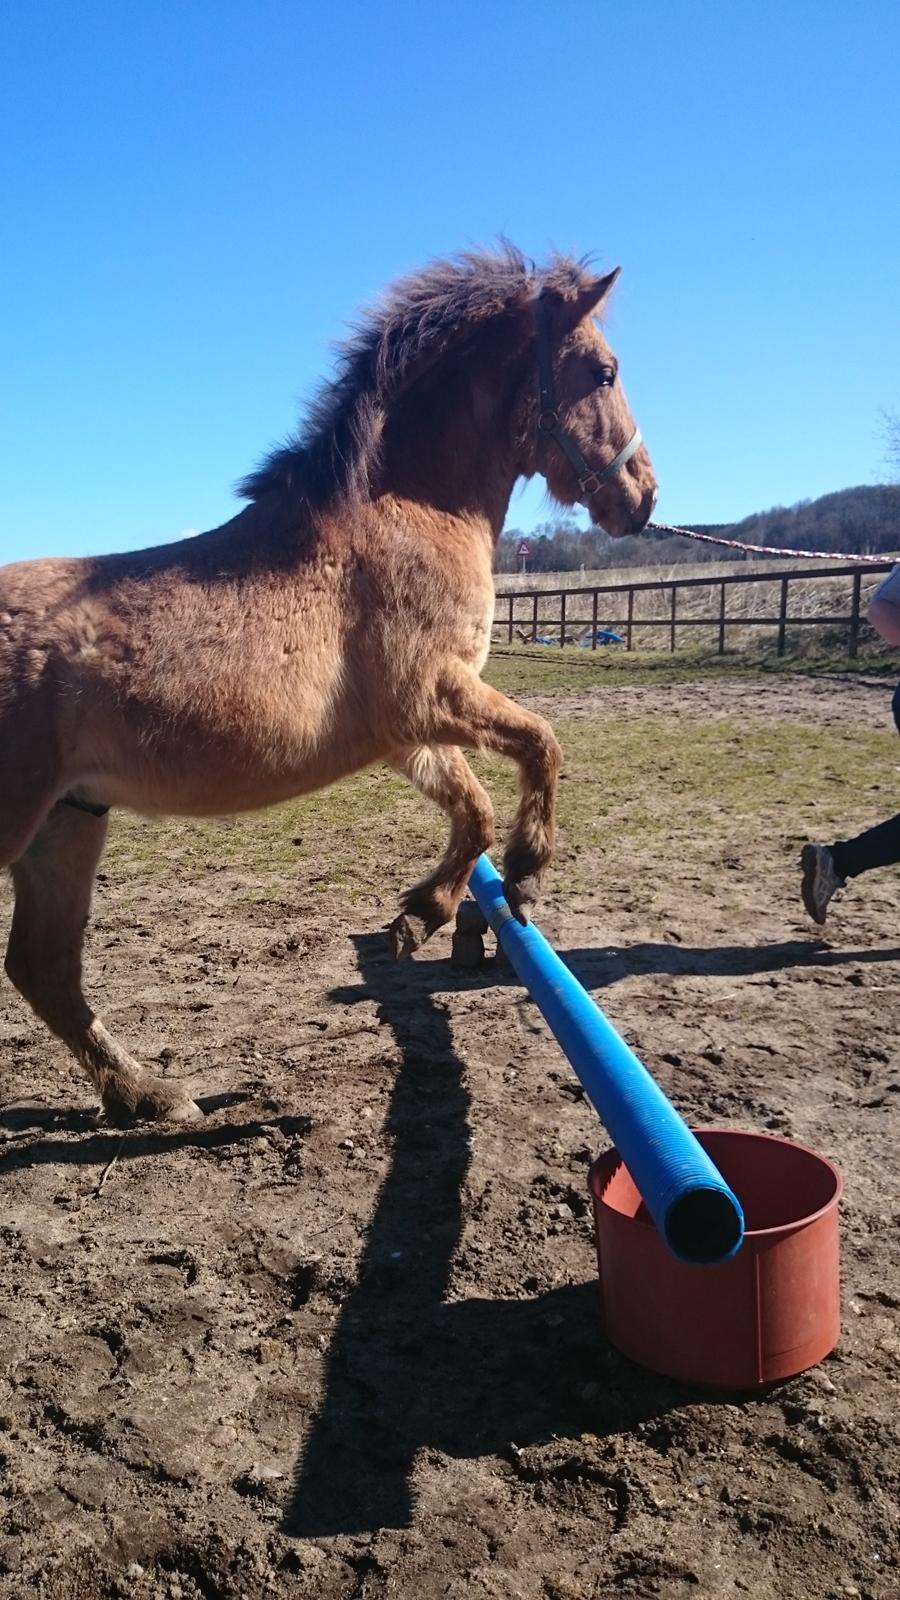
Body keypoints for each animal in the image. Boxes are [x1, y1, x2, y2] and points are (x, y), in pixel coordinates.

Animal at [0, 249, 650, 1126]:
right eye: (604, 372)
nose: (642, 497)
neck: (404, 511)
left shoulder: (406, 733)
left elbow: (474, 807)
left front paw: (420, 917)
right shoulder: (429, 694)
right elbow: (541, 745)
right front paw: (523, 873)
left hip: (67, 823)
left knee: (44, 969)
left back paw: (151, 1096)